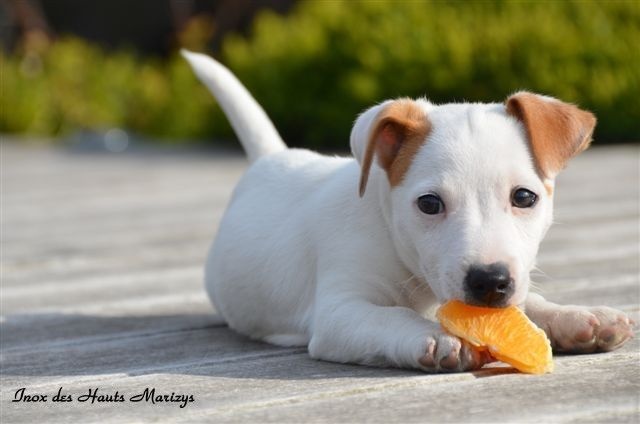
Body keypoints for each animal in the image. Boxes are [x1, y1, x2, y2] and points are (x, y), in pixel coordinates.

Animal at [182, 50, 634, 372]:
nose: (490, 282)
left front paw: (579, 318)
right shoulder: (340, 311)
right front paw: (436, 338)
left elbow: (531, 302)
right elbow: (392, 317)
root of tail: (272, 157)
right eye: (429, 204)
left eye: (524, 197)